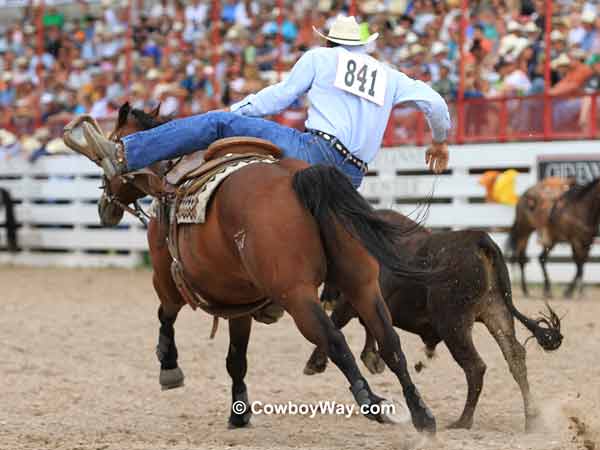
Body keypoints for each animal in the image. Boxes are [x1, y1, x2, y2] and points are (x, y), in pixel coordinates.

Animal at [64, 103, 450, 434]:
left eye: (117, 135)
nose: (104, 207)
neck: (169, 177)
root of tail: (300, 176)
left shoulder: (167, 279)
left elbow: (166, 316)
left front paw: (169, 367)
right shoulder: (239, 302)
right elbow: (237, 358)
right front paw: (239, 413)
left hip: (297, 295)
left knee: (334, 340)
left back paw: (372, 401)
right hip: (362, 284)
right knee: (389, 341)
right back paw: (421, 414)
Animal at [304, 209, 564, 430]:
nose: (325, 297)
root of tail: (480, 241)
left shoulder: (351, 300)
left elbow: (335, 324)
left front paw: (316, 362)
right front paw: (372, 358)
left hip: (453, 324)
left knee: (475, 367)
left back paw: (463, 421)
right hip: (496, 311)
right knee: (515, 356)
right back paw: (532, 419)